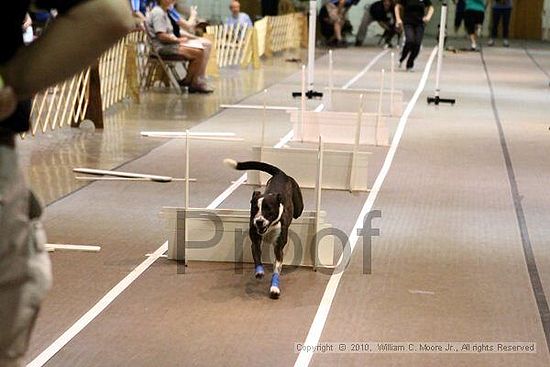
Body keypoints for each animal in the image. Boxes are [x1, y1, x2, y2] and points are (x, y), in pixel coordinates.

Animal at [223, 159, 304, 300]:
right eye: (255, 209)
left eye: (268, 209)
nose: (259, 221)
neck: (269, 227)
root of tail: (281, 174)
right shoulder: (255, 242)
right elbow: (257, 258)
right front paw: (259, 272)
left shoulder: (278, 248)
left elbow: (277, 268)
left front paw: (274, 288)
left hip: (298, 208)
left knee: (298, 211)